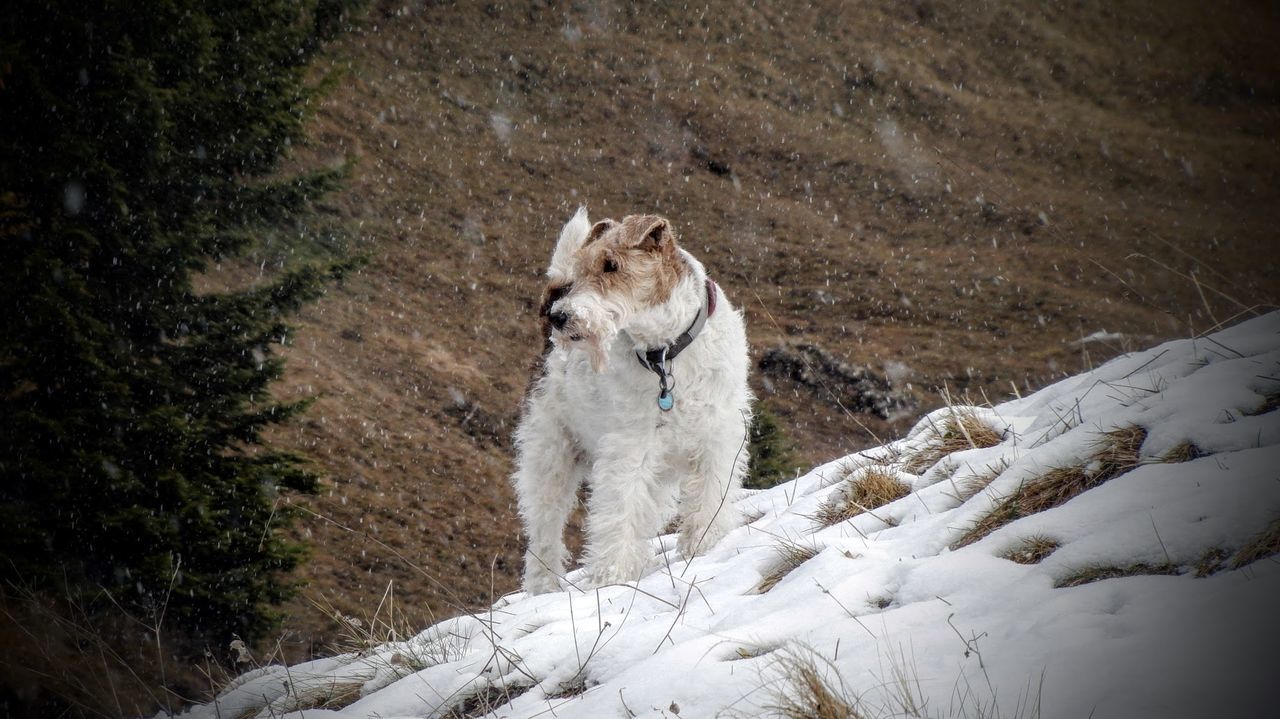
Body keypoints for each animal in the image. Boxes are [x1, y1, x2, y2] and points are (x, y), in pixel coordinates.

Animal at [509, 204, 747, 591]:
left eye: (611, 265)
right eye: (581, 268)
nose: (561, 316)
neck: (665, 353)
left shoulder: (717, 439)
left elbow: (708, 502)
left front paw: (704, 546)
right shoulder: (630, 447)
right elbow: (619, 515)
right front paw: (611, 578)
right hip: (549, 453)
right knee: (545, 531)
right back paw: (546, 586)